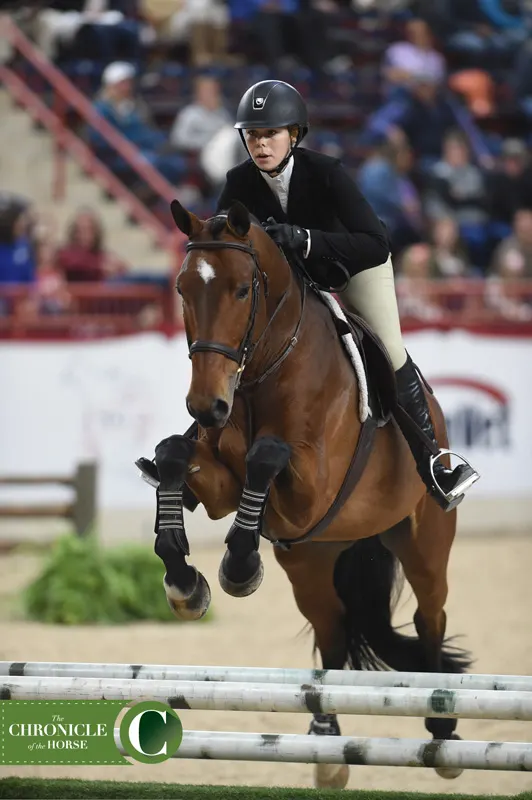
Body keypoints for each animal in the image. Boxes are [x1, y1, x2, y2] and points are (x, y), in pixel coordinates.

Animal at [140, 198, 470, 788]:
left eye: (242, 290)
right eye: (182, 287)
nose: (206, 406)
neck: (264, 370)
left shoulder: (311, 489)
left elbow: (266, 456)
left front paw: (238, 565)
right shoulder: (227, 486)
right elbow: (175, 454)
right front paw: (184, 580)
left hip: (424, 542)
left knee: (431, 617)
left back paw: (441, 727)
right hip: (312, 561)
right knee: (333, 632)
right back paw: (325, 741)